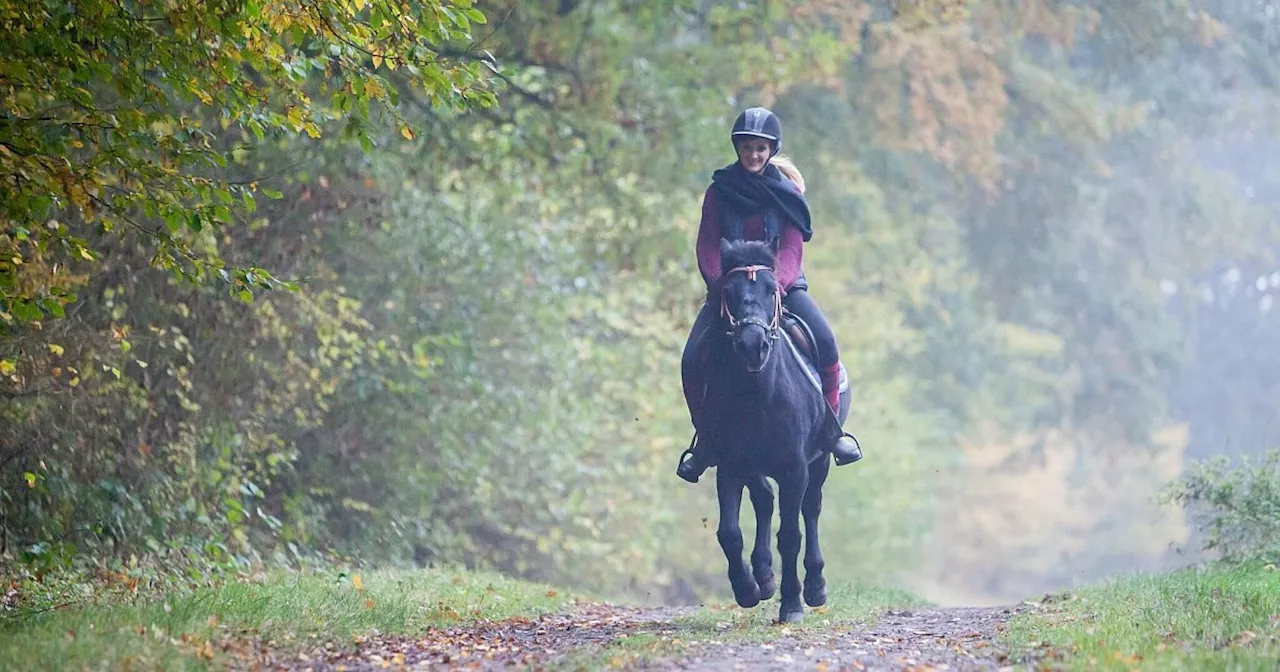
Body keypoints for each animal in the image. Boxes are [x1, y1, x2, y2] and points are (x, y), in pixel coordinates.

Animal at [701, 236, 849, 624]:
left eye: (771, 290)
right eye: (729, 291)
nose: (753, 345)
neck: (758, 394)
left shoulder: (795, 469)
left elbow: (791, 535)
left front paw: (792, 605)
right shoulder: (730, 465)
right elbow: (729, 532)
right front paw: (748, 589)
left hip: (820, 460)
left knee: (810, 509)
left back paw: (814, 586)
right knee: (765, 501)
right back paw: (764, 576)